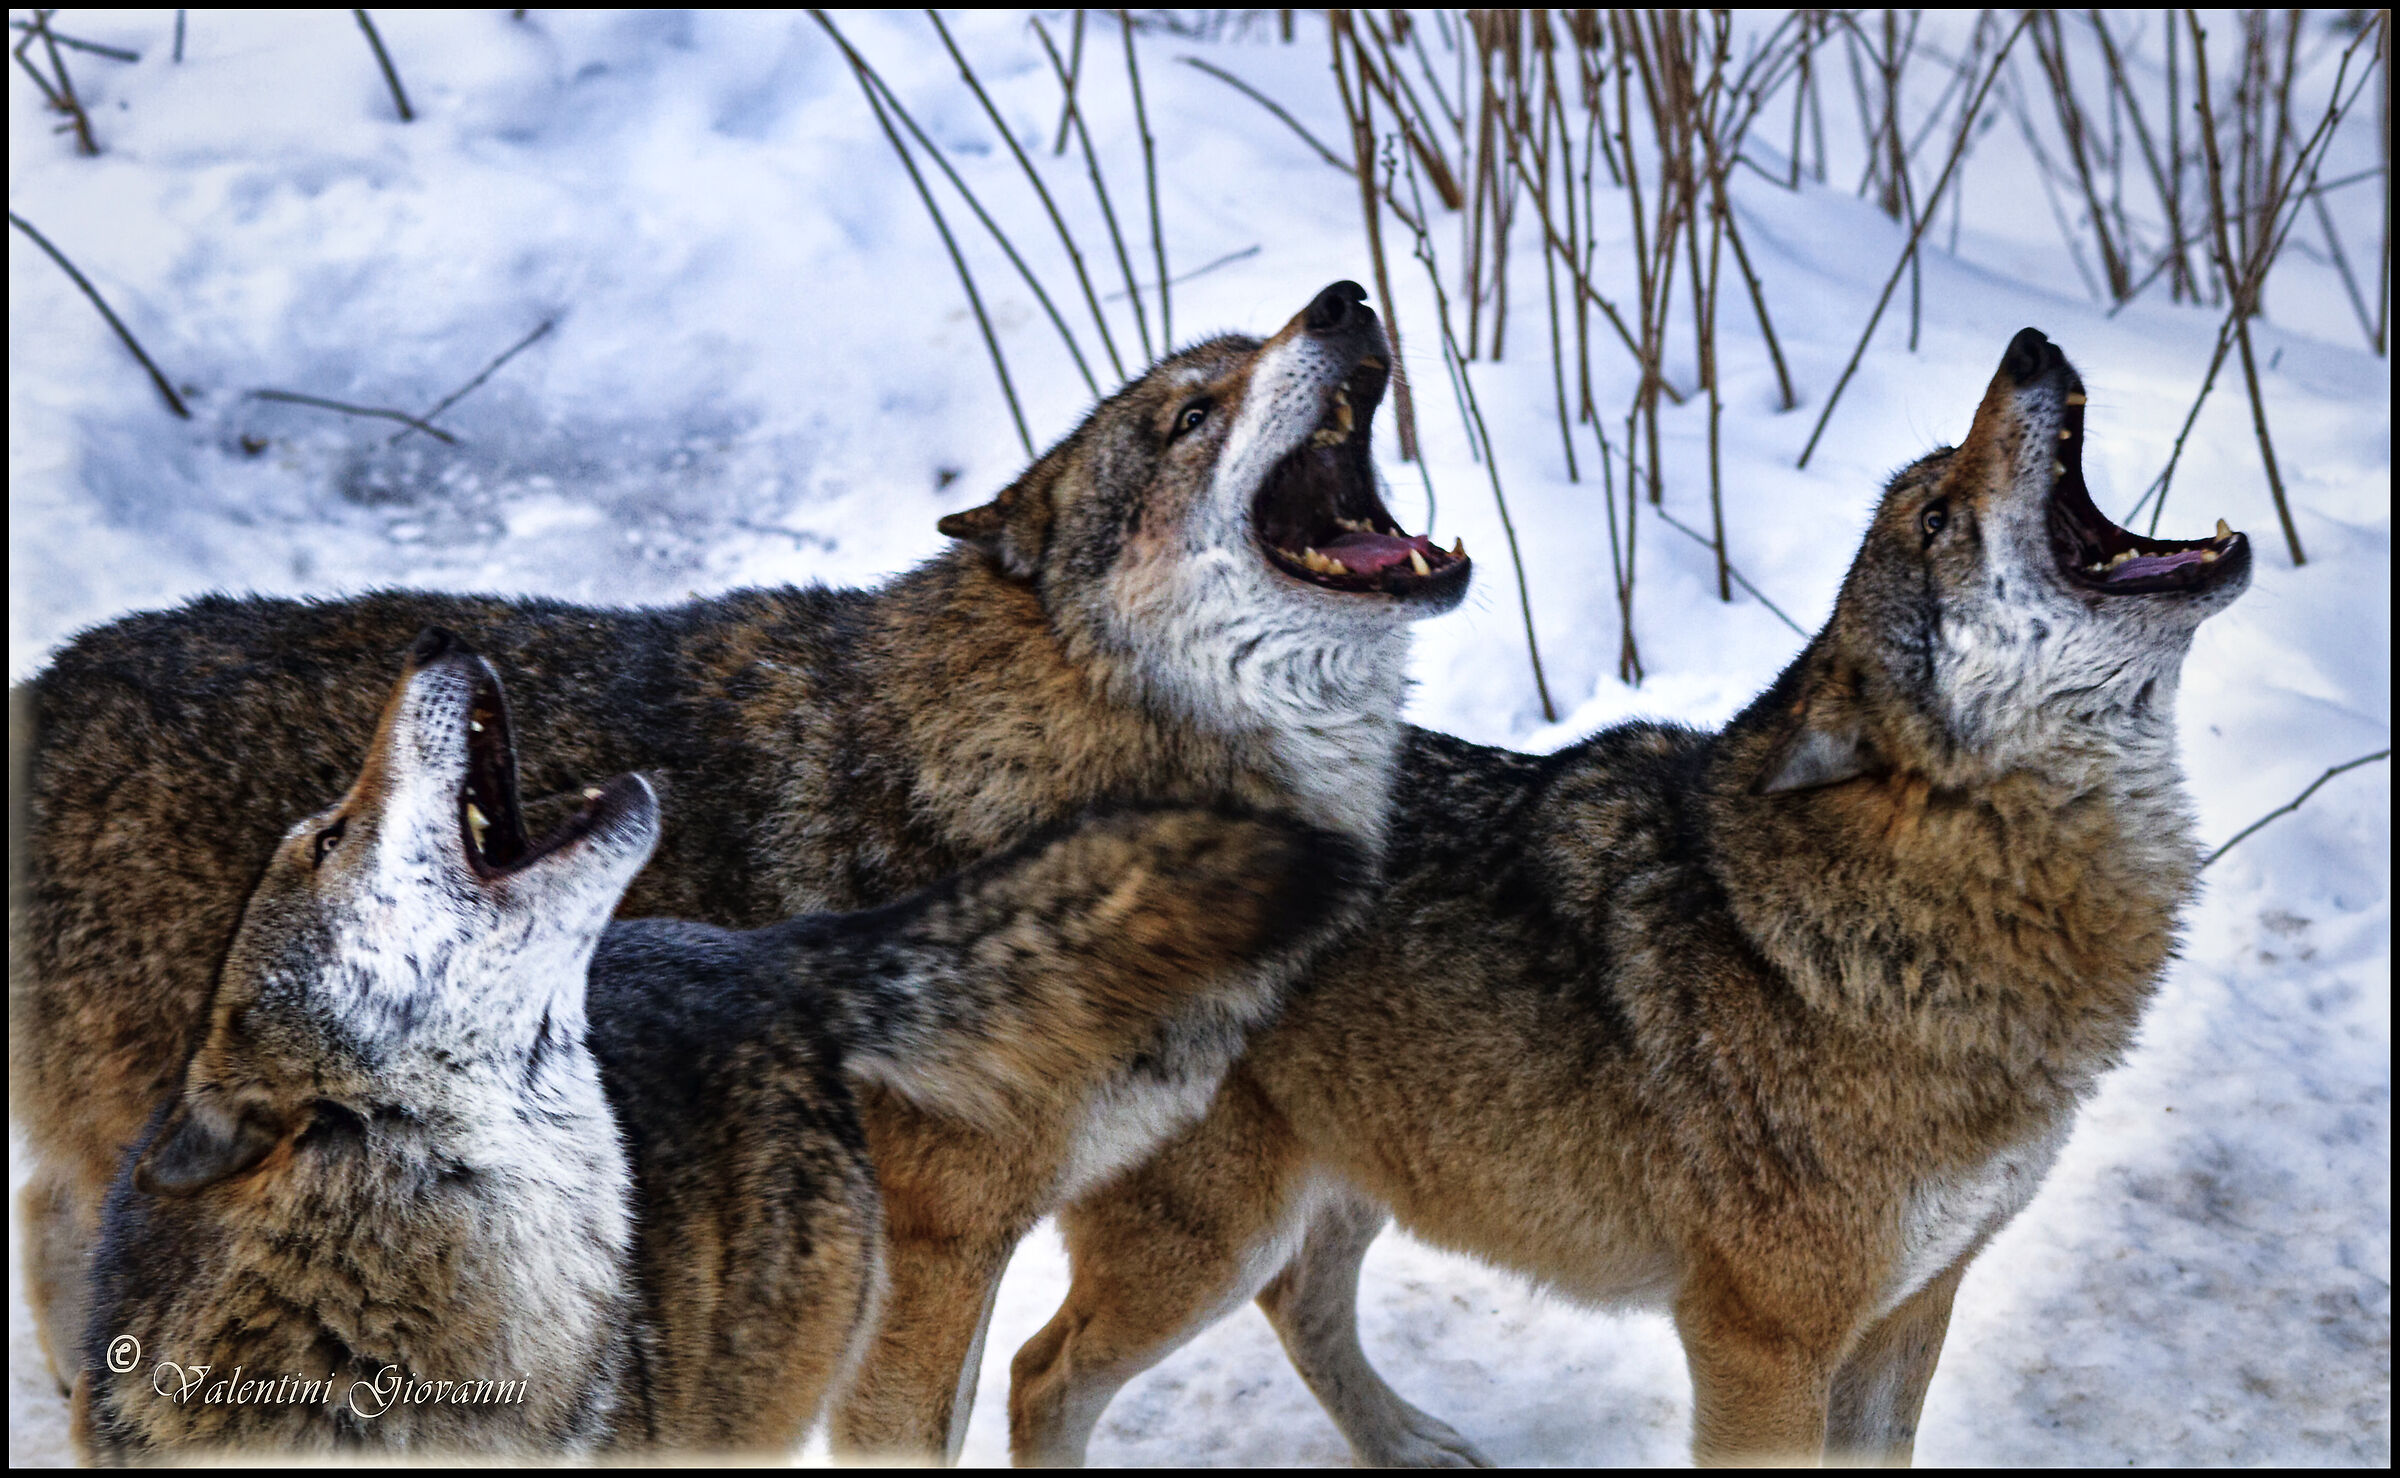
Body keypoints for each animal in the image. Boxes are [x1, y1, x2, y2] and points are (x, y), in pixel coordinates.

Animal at [1006, 328, 2254, 1466]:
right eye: (1936, 518)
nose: (2031, 344)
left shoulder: (1912, 1306)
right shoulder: (1760, 1340)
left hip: (1361, 1175)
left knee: (1299, 1303)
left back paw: (1407, 1442)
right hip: (1212, 1236)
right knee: (1037, 1372)